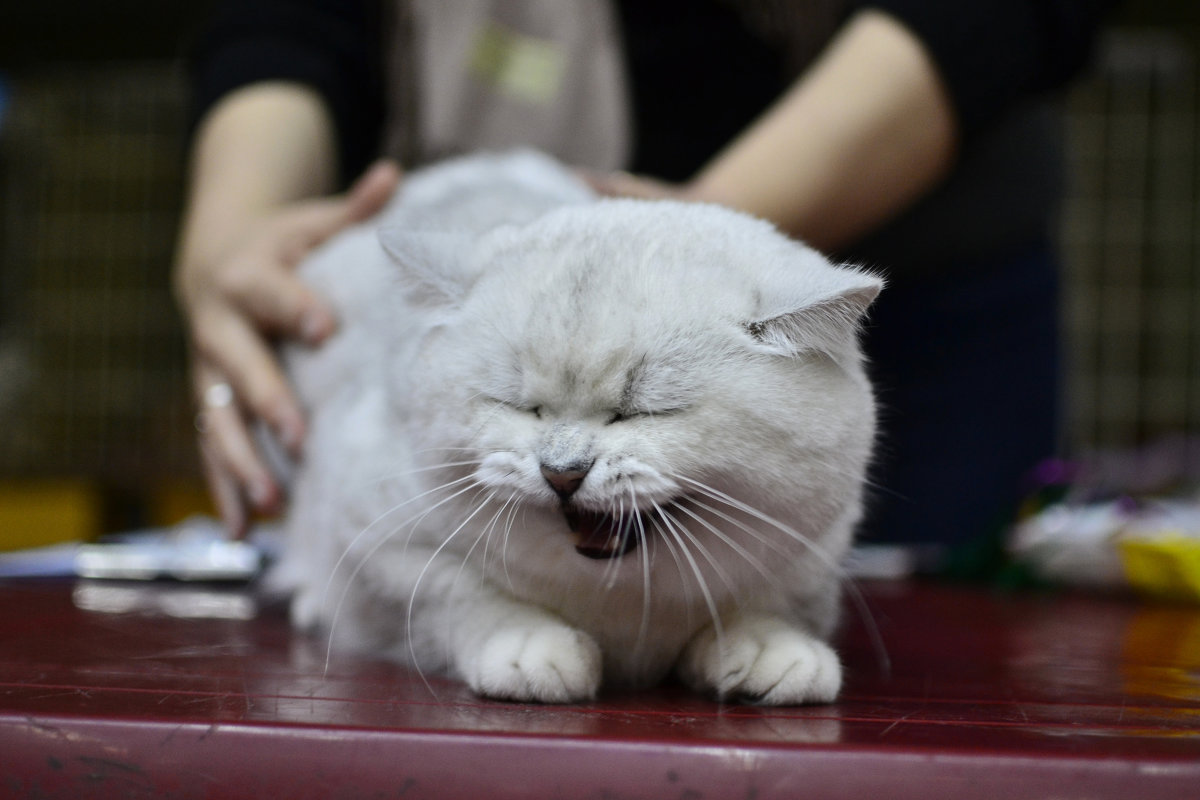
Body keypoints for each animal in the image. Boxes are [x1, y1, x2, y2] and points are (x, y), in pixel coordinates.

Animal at [280, 151, 883, 705]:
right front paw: (531, 647)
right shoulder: (383, 545)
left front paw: (769, 649)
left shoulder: (811, 556)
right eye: (523, 407)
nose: (561, 472)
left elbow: (759, 607)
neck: (623, 602)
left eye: (642, 411)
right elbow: (464, 597)